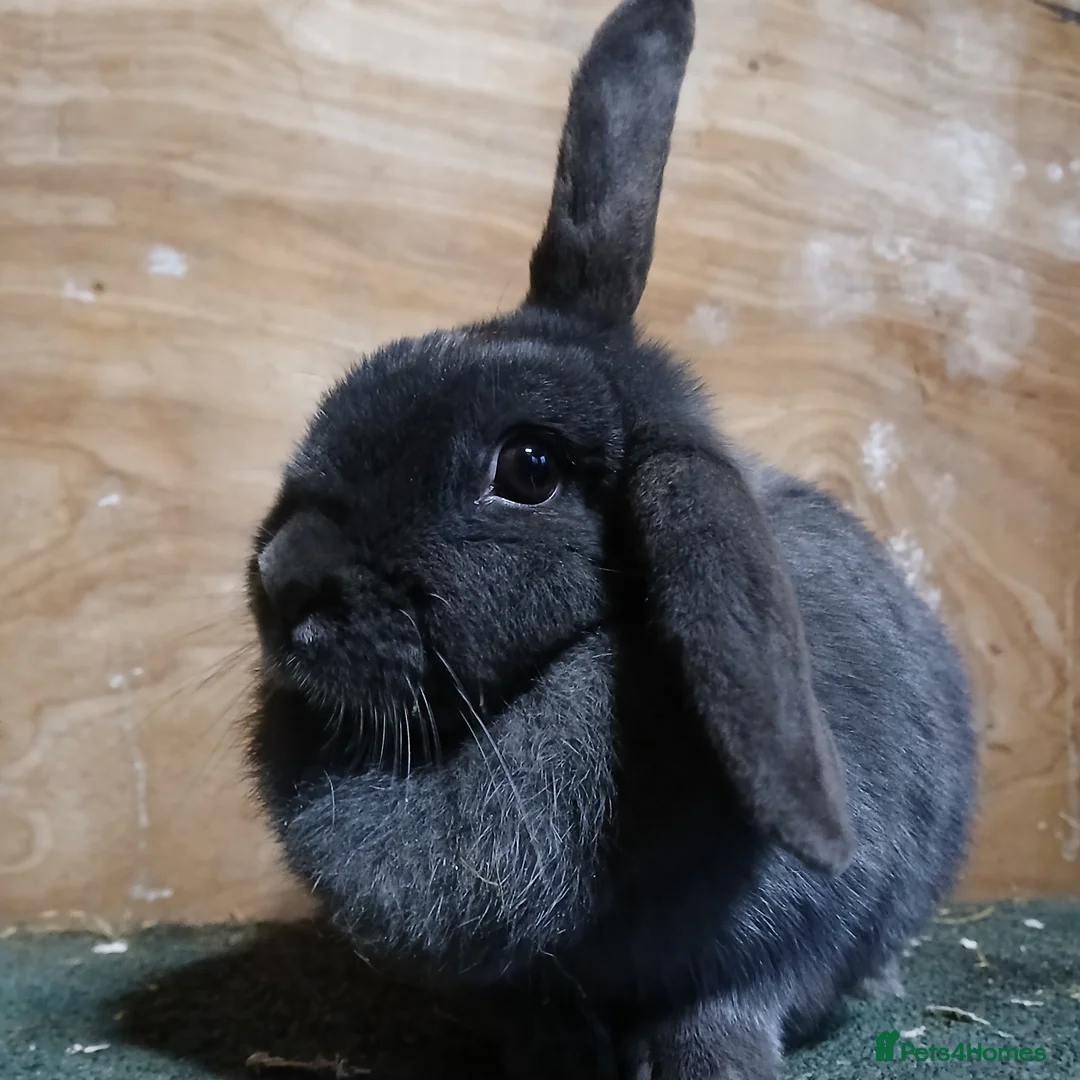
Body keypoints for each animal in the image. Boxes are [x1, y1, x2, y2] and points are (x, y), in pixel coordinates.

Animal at [244, 0, 978, 1077]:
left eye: (529, 469)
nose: (282, 578)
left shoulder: (774, 946)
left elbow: (719, 1011)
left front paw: (715, 1066)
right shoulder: (510, 982)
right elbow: (538, 1015)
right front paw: (567, 1060)